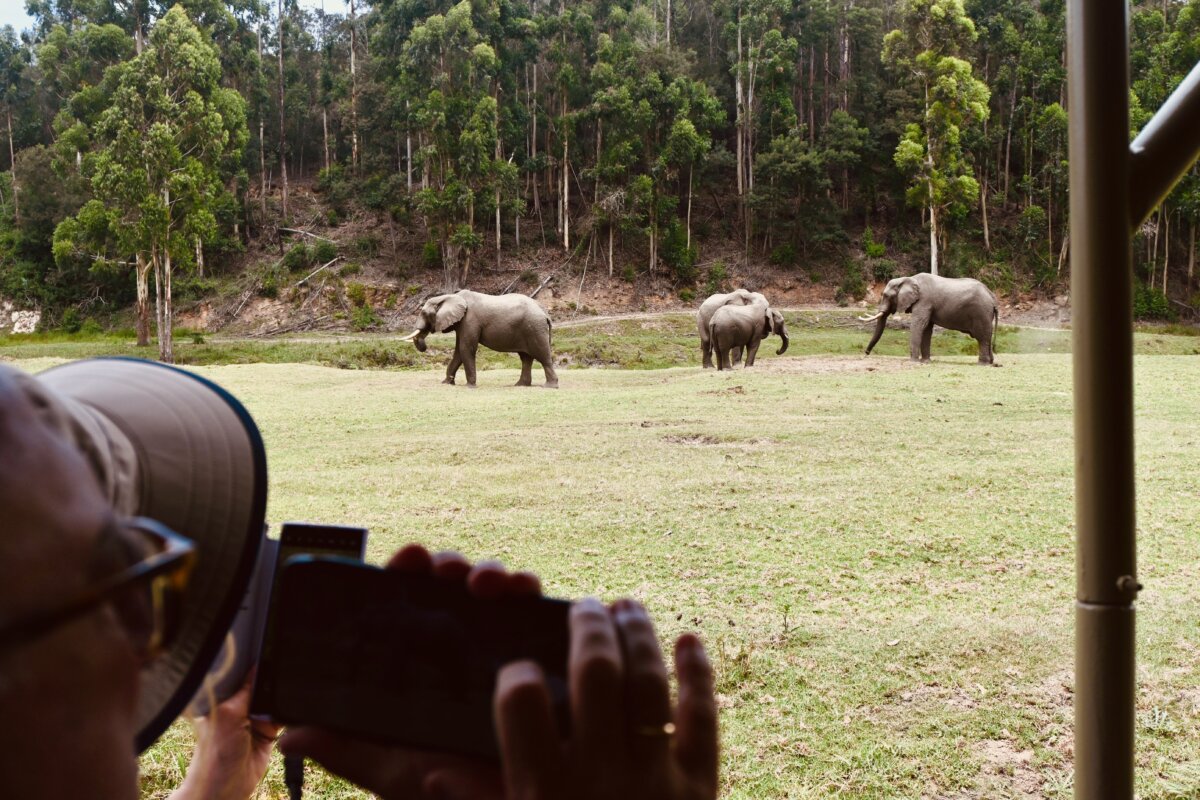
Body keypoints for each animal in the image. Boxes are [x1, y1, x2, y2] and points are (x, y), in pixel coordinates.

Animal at [401, 290, 559, 387]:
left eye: (423, 313)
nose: (424, 346)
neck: (450, 296)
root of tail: (545, 313)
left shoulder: (470, 320)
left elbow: (466, 349)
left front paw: (470, 386)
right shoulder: (462, 323)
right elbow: (458, 351)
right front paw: (446, 383)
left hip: (535, 328)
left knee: (543, 356)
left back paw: (550, 386)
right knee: (526, 358)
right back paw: (520, 385)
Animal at [862, 273, 999, 365]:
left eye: (886, 296)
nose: (866, 353)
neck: (909, 278)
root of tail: (992, 296)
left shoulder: (924, 301)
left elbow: (918, 325)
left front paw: (914, 362)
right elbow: (927, 329)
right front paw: (925, 361)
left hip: (981, 312)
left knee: (982, 337)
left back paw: (982, 364)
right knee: (987, 336)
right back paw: (991, 363)